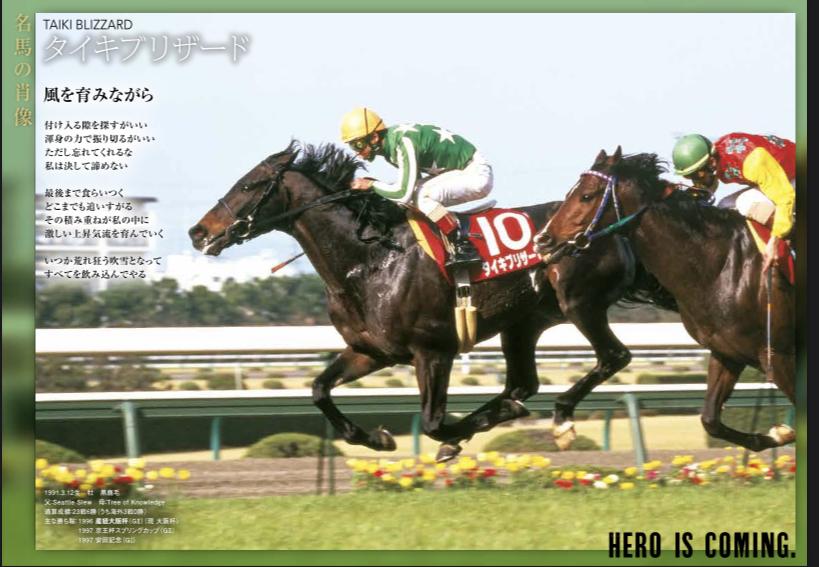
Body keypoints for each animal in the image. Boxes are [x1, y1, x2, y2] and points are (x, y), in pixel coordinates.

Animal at [188, 141, 675, 460]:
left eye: (249, 185)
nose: (198, 231)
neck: (370, 259)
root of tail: (620, 229)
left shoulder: (433, 351)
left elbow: (434, 423)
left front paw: (454, 436)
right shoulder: (371, 350)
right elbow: (319, 389)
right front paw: (377, 438)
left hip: (580, 304)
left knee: (612, 357)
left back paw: (562, 420)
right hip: (524, 322)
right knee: (522, 384)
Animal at [534, 147, 795, 451]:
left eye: (586, 195)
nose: (543, 240)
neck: (720, 265)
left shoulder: (779, 355)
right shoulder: (726, 353)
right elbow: (710, 420)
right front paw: (779, 434)